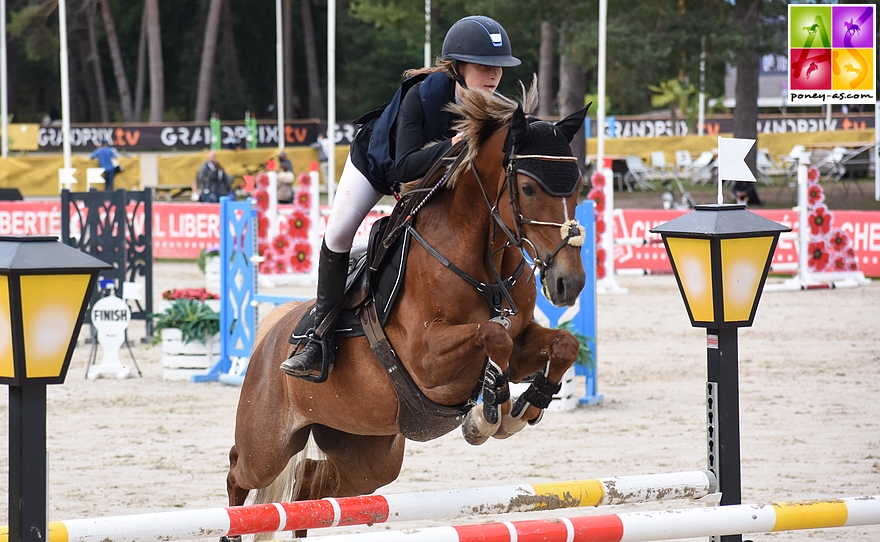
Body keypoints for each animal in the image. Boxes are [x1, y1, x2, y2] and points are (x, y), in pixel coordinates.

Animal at [223, 84, 588, 540]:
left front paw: (527, 405)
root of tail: (273, 333)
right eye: (529, 188)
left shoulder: (522, 342)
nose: (569, 282)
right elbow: (492, 334)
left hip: (366, 454)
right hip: (268, 443)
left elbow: (561, 343)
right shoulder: (426, 358)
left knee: (310, 487)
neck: (485, 264)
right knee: (239, 471)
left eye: (577, 186)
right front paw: (488, 414)